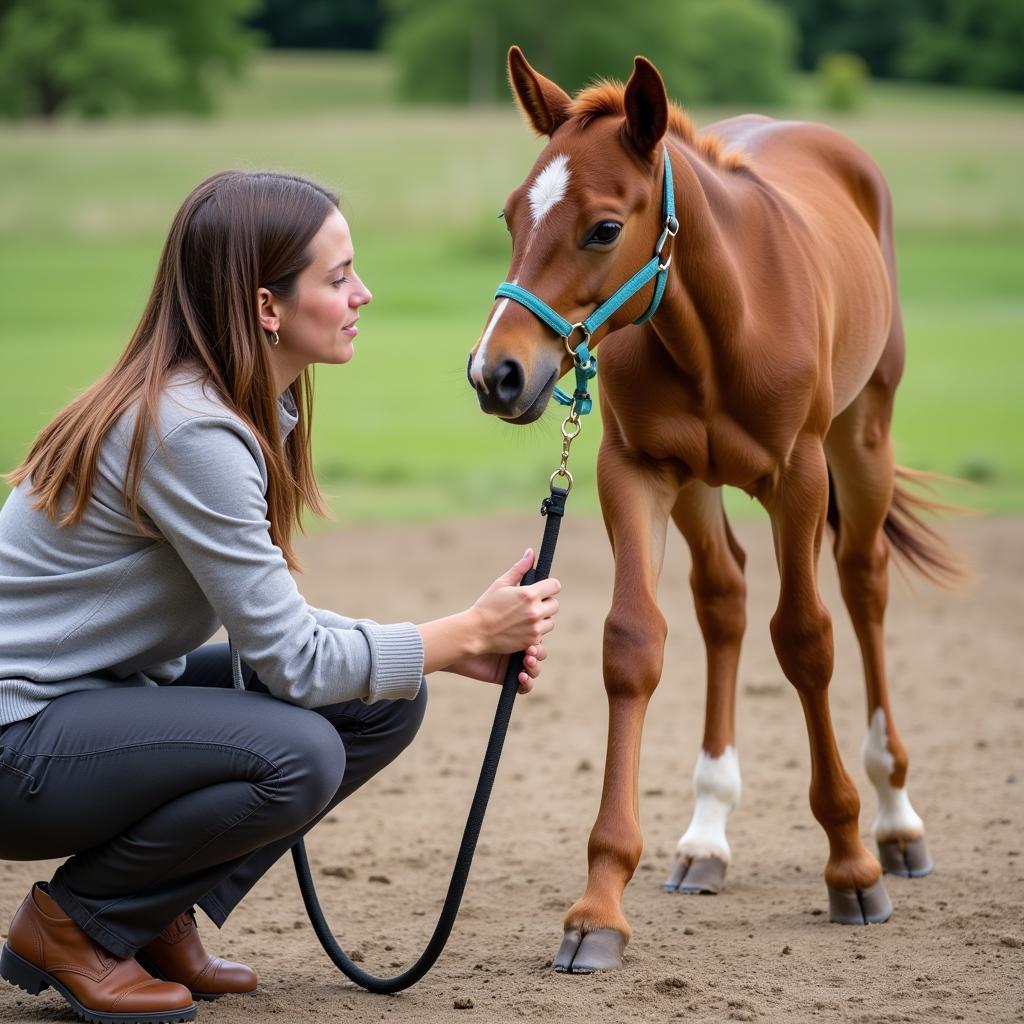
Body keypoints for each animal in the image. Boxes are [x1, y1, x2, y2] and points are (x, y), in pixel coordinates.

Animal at [468, 49, 954, 974]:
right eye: (512, 213)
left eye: (603, 228)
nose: (495, 374)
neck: (723, 322)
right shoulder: (635, 471)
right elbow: (634, 645)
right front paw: (598, 908)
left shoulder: (799, 477)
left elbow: (805, 641)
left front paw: (850, 864)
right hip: (699, 487)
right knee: (723, 598)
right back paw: (706, 838)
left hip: (862, 434)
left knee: (862, 585)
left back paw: (896, 818)